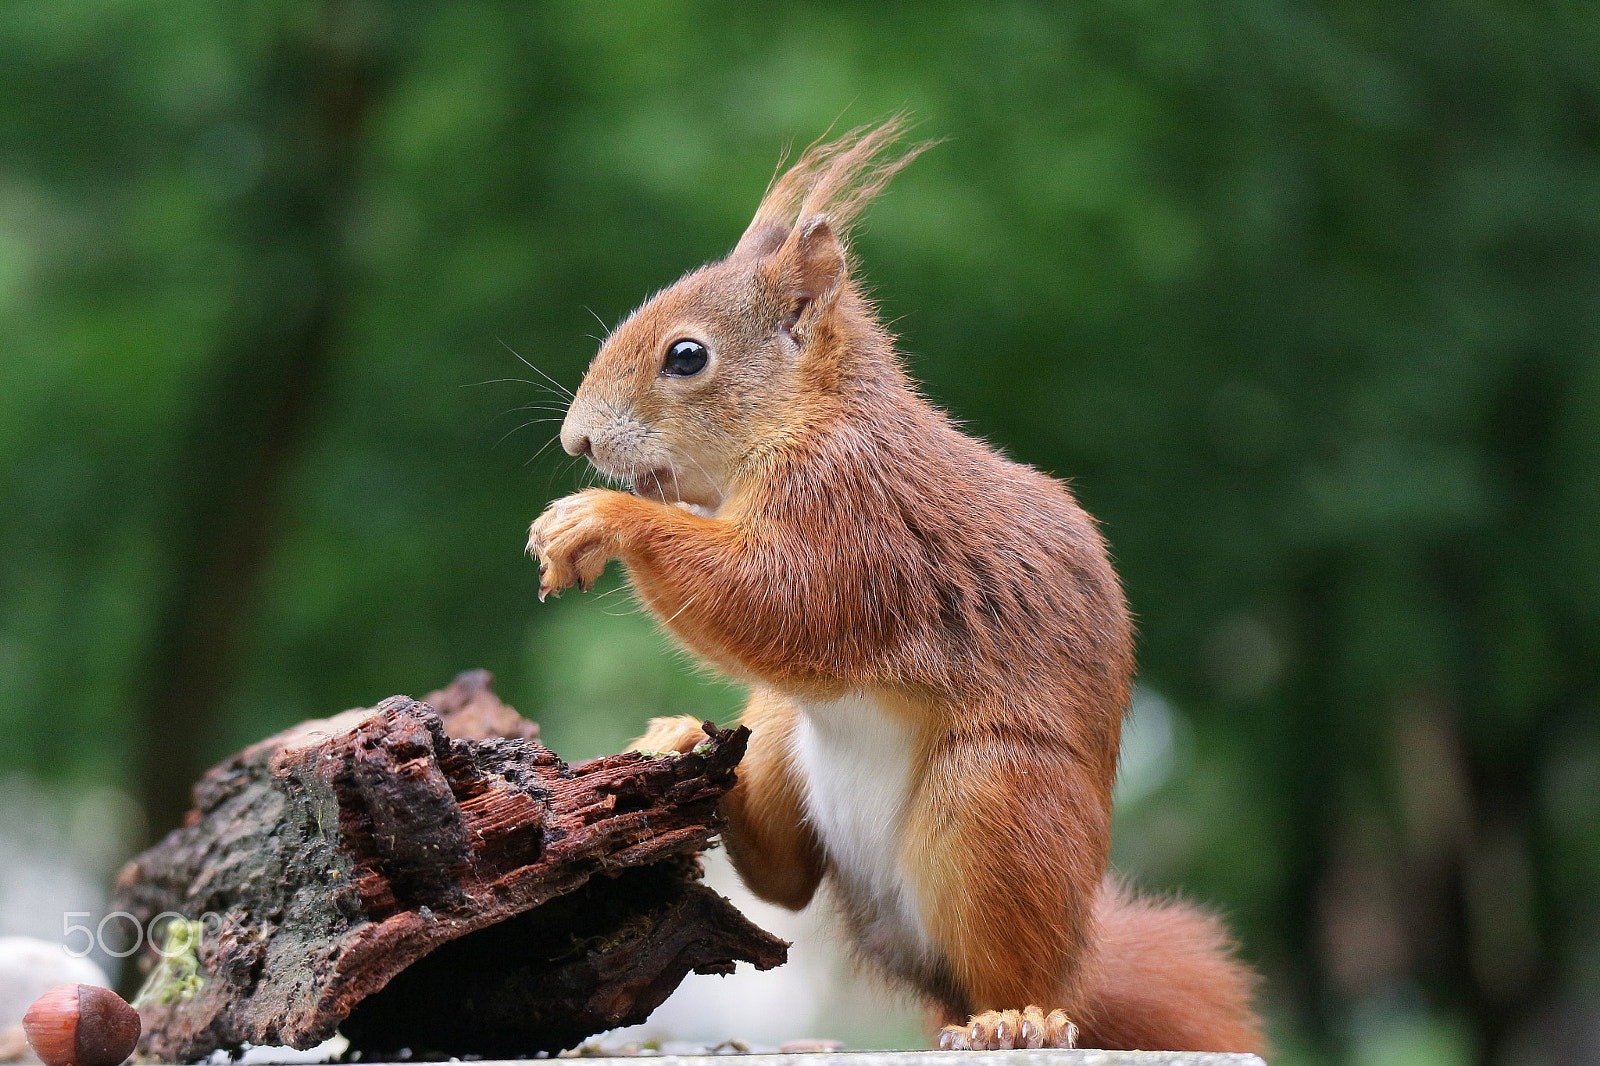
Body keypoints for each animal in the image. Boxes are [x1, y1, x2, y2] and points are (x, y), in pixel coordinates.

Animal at [531, 120, 1267, 1049]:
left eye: (687, 357)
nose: (577, 441)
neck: (812, 419)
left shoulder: (854, 519)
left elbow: (777, 599)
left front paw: (599, 517)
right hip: (782, 736)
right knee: (783, 880)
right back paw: (682, 743)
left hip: (992, 799)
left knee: (1007, 970)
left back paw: (1015, 1019)